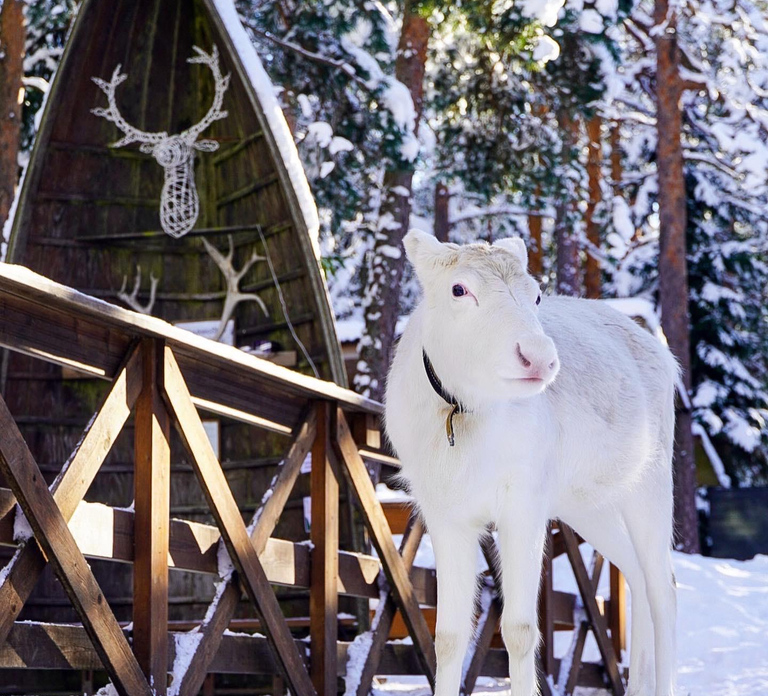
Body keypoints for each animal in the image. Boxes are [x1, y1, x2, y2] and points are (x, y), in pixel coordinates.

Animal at [385, 230, 678, 696]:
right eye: (458, 289)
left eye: (537, 294)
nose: (538, 356)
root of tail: (665, 356)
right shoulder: (445, 513)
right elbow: (447, 637)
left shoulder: (524, 502)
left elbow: (521, 630)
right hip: (585, 504)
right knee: (634, 573)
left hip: (650, 480)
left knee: (663, 586)